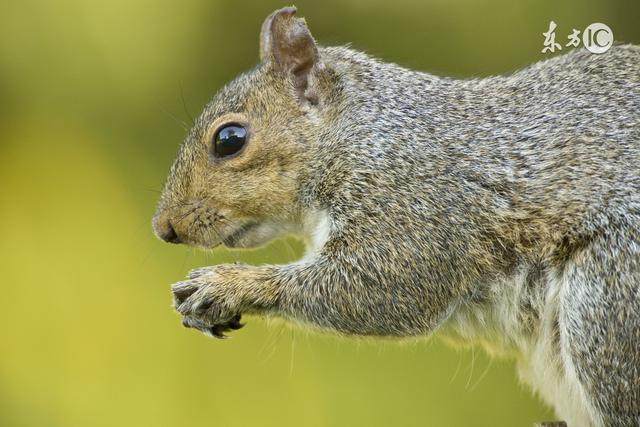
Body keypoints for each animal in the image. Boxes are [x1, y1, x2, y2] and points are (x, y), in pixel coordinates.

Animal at [154, 6, 640, 427]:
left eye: (230, 139)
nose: (164, 228)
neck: (361, 133)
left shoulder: (411, 204)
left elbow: (383, 287)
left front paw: (227, 284)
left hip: (605, 301)